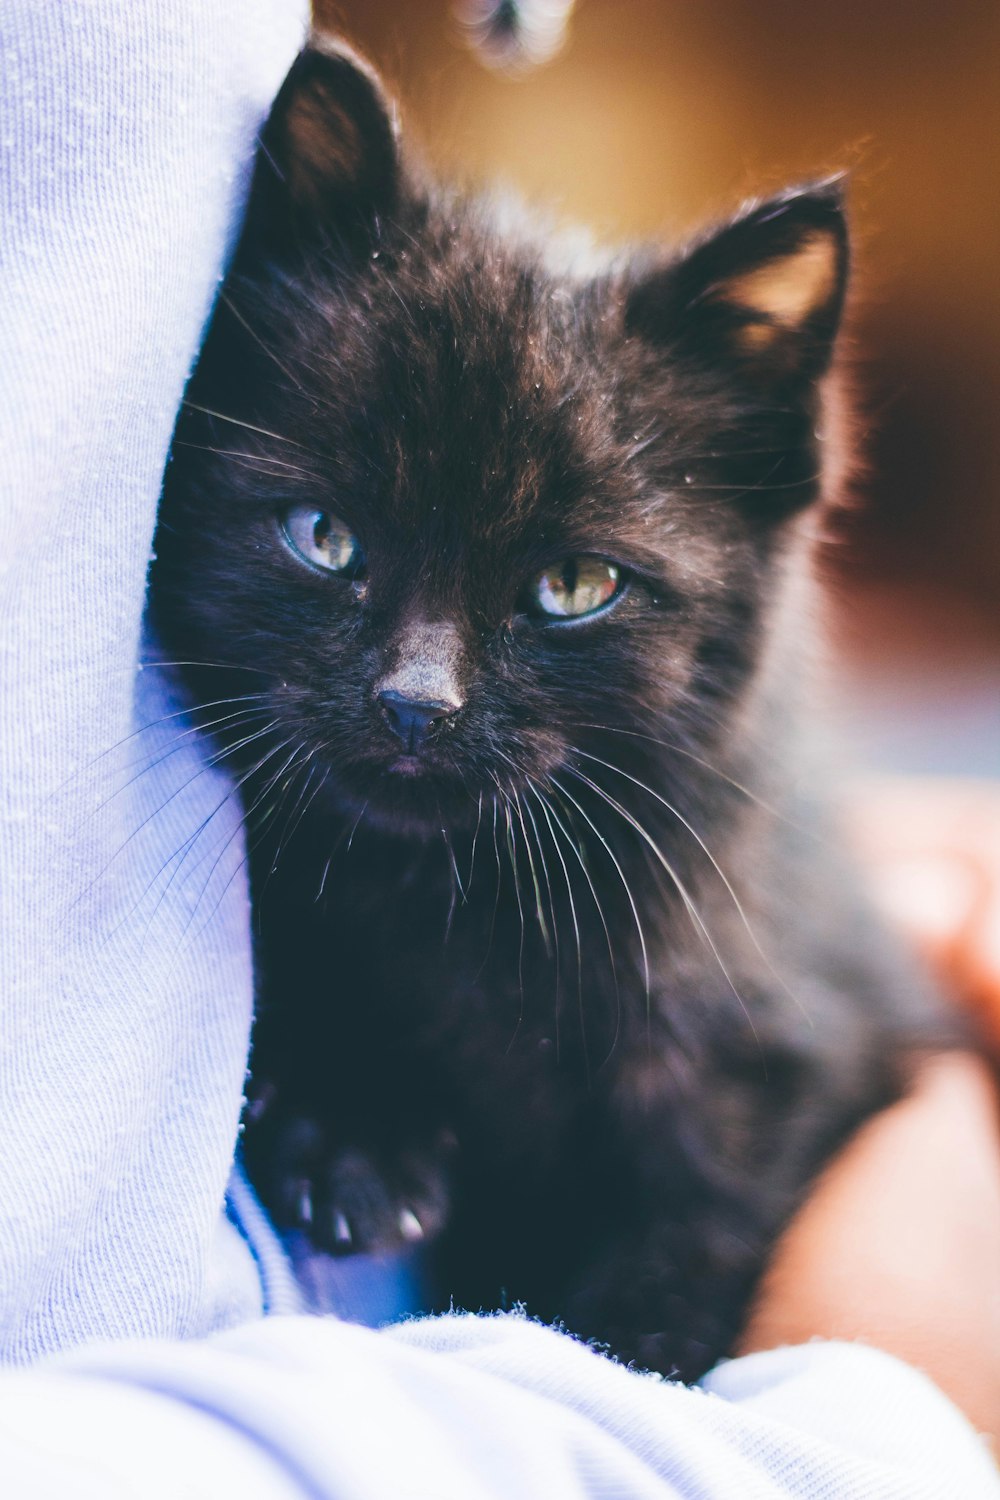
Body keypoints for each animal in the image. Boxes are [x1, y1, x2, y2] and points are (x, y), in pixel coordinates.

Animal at [152, 35, 953, 1374]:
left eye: (573, 587)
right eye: (324, 536)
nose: (413, 702)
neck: (460, 893)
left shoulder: (803, 1035)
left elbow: (700, 1218)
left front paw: (631, 1341)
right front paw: (352, 1130)